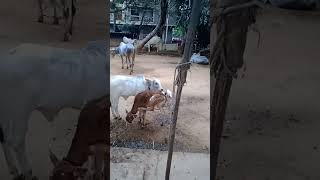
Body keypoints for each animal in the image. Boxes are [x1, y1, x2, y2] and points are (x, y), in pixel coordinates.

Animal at [0, 40, 108, 180]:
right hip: (20, 112)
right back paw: (27, 172)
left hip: (7, 112)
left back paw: (14, 170)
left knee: (4, 138)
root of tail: (9, 55)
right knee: (17, 142)